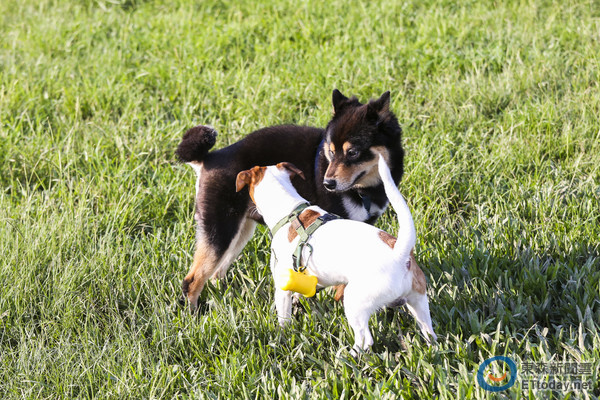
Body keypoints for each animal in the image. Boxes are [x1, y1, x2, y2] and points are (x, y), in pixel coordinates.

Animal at [176, 90, 406, 310]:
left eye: (353, 152)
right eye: (331, 152)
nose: (328, 183)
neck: (365, 190)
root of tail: (208, 159)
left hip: (240, 231)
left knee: (216, 273)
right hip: (221, 229)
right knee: (192, 280)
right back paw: (193, 314)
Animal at [237, 155, 438, 352]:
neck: (290, 211)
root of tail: (399, 254)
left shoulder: (282, 286)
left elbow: (283, 317)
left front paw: (282, 335)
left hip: (355, 302)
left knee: (365, 339)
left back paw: (348, 355)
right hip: (418, 301)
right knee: (429, 332)